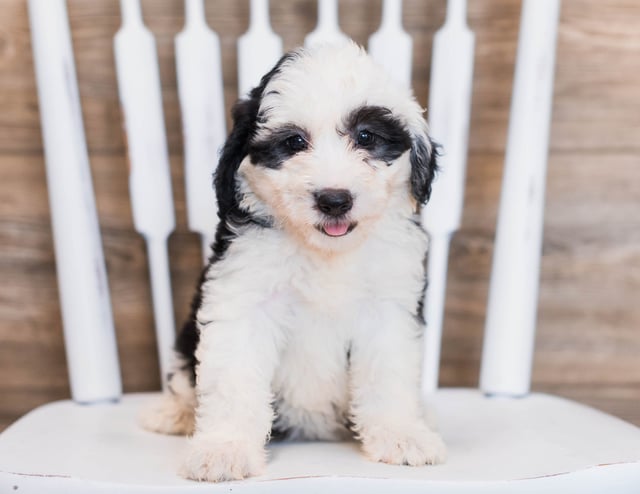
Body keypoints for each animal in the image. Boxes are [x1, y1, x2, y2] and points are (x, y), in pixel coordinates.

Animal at [142, 43, 448, 482]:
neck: (325, 252)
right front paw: (223, 449)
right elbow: (232, 380)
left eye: (366, 137)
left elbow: (388, 374)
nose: (334, 199)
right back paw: (174, 414)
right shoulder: (241, 297)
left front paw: (402, 435)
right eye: (294, 142)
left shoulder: (388, 307)